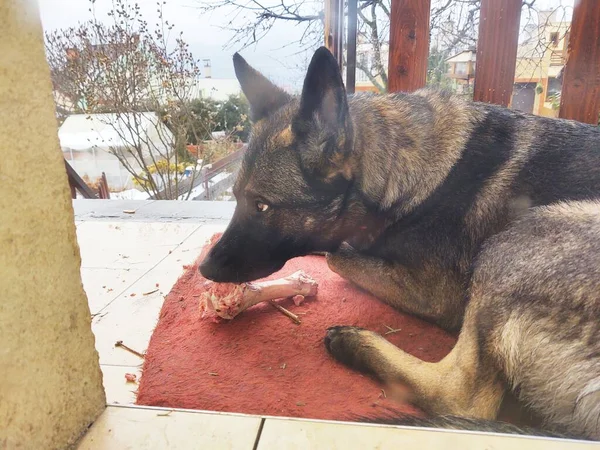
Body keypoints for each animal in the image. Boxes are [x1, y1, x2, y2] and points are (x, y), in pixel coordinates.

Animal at [200, 47, 600, 442]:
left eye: (262, 206)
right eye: (235, 198)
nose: (204, 268)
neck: (402, 165)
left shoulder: (432, 293)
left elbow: (335, 257)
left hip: (519, 240)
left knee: (461, 397)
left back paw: (356, 343)